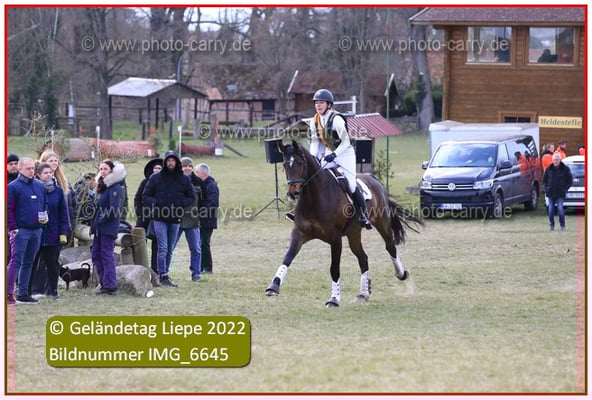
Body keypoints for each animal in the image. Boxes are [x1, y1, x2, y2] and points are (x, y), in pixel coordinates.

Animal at [265, 140, 423, 307]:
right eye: (284, 164)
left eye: (301, 163)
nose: (293, 193)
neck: (314, 197)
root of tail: (374, 180)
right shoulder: (299, 233)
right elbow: (287, 258)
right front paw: (273, 286)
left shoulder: (335, 239)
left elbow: (334, 268)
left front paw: (334, 299)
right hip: (354, 233)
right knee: (363, 258)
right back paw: (363, 293)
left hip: (382, 224)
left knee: (390, 247)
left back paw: (401, 274)